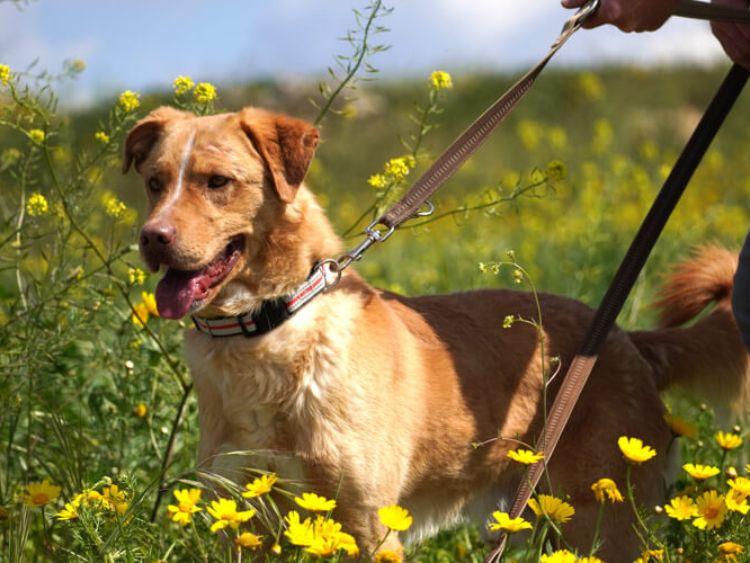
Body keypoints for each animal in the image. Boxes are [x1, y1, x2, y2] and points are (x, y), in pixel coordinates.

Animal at [125, 106, 750, 560]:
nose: (151, 237)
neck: (269, 331)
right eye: (154, 183)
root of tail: (628, 340)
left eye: (217, 182)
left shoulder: (367, 524)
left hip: (608, 521)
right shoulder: (245, 521)